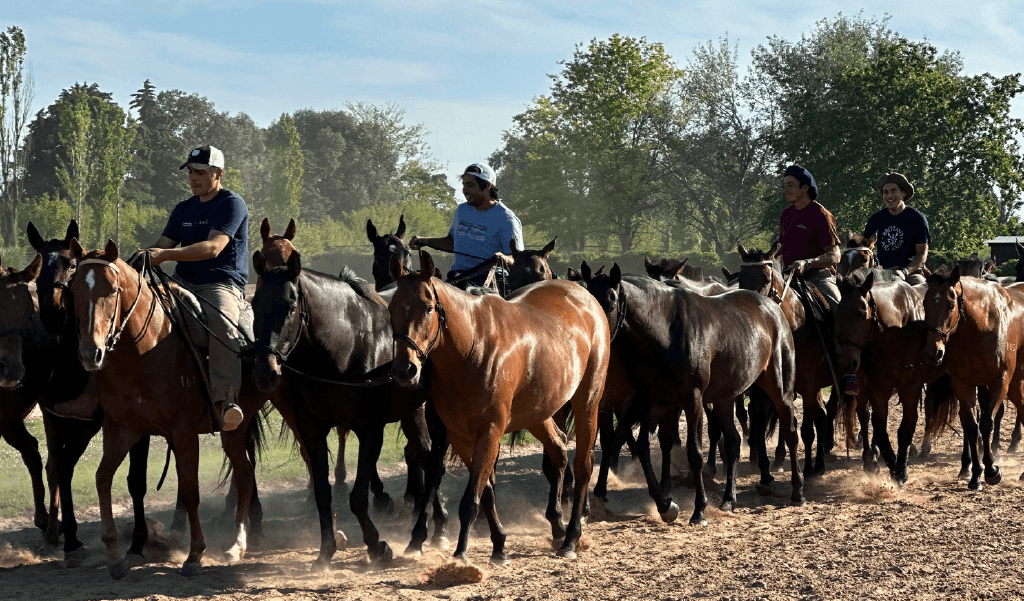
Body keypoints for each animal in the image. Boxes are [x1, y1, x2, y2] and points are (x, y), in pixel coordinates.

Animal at [69, 239, 272, 578]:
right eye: (73, 289)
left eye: (112, 289)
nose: (89, 353)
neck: (145, 347)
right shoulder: (123, 428)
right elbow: (103, 478)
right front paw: (114, 553)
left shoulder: (184, 432)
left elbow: (190, 490)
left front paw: (194, 555)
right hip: (234, 430)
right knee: (245, 474)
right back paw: (236, 545)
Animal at [250, 250, 446, 568]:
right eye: (255, 304)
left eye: (291, 306)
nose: (264, 372)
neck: (347, 345)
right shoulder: (313, 431)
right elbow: (322, 492)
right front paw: (325, 551)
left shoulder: (369, 431)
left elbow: (358, 496)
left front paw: (377, 546)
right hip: (412, 412)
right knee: (425, 454)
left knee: (434, 460)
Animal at [389, 250, 609, 562]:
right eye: (391, 308)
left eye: (428, 308)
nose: (404, 369)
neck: (472, 347)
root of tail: (584, 297)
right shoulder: (459, 435)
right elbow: (485, 490)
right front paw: (499, 544)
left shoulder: (489, 432)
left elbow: (471, 498)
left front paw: (461, 553)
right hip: (537, 411)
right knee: (557, 448)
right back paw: (557, 527)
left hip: (587, 400)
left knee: (583, 465)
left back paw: (570, 538)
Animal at [577, 262, 802, 526]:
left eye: (611, 302)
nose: (593, 337)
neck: (665, 331)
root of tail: (774, 308)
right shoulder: (654, 401)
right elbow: (643, 448)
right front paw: (665, 505)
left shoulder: (692, 400)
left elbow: (694, 453)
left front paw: (699, 510)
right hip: (725, 398)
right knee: (733, 442)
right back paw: (729, 499)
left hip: (779, 388)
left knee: (789, 430)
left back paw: (797, 491)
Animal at [922, 265, 1024, 490]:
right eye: (924, 303)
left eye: (951, 305)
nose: (933, 353)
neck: (982, 325)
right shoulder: (963, 384)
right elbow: (971, 426)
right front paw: (976, 474)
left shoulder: (999, 382)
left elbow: (986, 422)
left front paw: (992, 470)